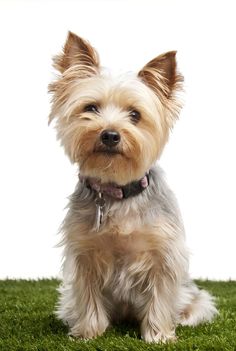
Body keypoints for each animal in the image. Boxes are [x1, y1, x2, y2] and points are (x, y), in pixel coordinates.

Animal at [48, 31, 218, 342]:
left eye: (135, 115)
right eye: (90, 108)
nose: (110, 135)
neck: (117, 193)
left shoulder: (163, 253)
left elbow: (160, 296)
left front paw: (158, 336)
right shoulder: (84, 253)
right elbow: (88, 296)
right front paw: (89, 332)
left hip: (196, 297)